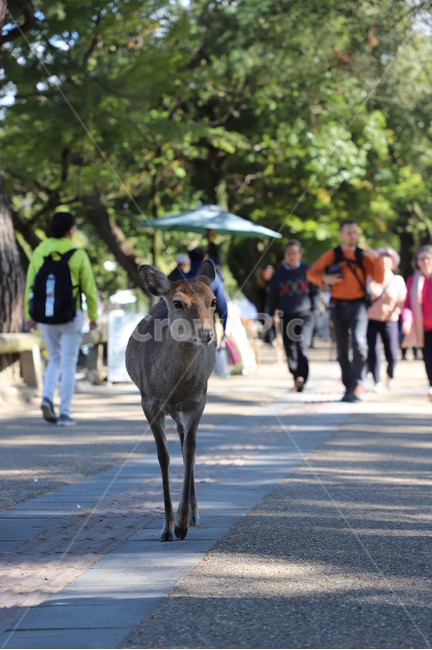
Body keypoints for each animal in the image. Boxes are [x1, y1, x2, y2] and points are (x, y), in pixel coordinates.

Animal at [126, 260, 217, 541]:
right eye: (178, 303)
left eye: (213, 301)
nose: (206, 334)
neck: (172, 386)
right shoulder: (149, 402)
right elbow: (163, 456)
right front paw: (167, 527)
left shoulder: (198, 400)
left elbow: (190, 451)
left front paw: (182, 523)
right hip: (170, 410)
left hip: (184, 409)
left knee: (186, 446)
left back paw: (195, 514)